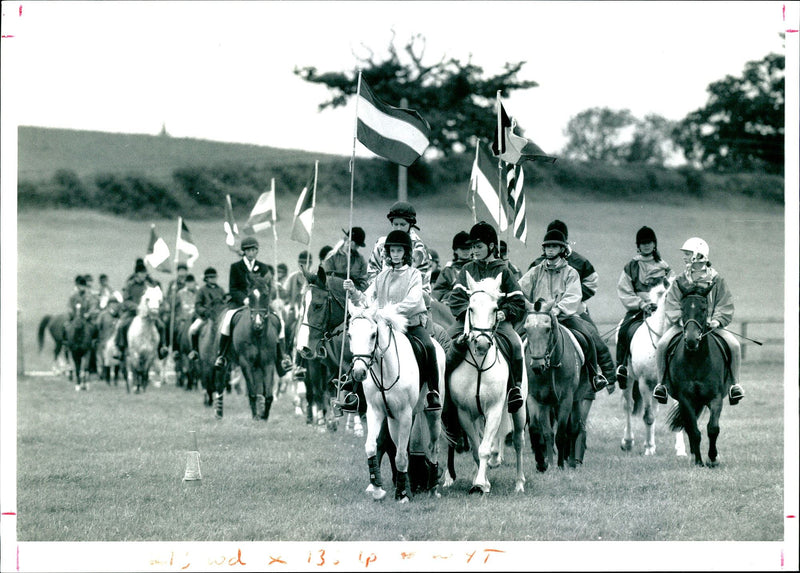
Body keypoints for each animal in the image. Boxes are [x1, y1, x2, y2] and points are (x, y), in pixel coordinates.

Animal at [348, 304, 440, 500]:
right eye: (350, 335)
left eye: (373, 335)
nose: (359, 372)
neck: (385, 369)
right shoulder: (376, 412)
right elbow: (372, 447)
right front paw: (377, 488)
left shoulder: (404, 415)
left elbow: (401, 456)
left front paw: (402, 495)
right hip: (392, 420)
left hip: (432, 414)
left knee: (433, 446)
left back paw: (433, 487)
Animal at [444, 272, 524, 492]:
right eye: (470, 308)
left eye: (496, 309)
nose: (481, 343)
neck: (479, 365)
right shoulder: (464, 412)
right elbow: (475, 447)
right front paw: (481, 481)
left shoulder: (495, 409)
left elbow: (485, 448)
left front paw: (480, 482)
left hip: (519, 411)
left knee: (518, 441)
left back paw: (519, 483)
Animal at [620, 278, 688, 456]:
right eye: (670, 296)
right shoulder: (645, 383)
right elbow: (648, 416)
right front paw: (649, 448)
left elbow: (678, 415)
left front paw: (681, 450)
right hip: (628, 379)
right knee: (628, 406)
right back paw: (627, 442)